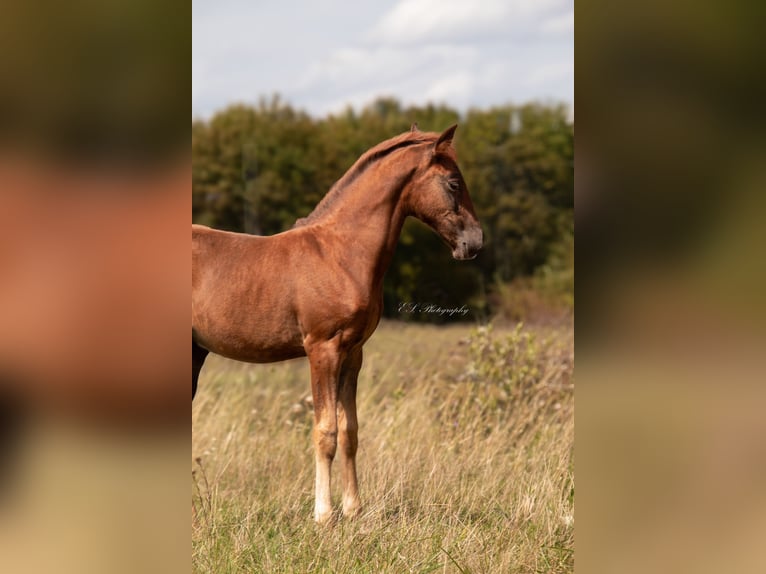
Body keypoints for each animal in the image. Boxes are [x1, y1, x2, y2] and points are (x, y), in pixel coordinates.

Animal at [192, 126, 480, 528]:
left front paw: (353, 509)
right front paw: (324, 514)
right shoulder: (322, 349)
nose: (475, 242)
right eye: (454, 183)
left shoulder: (352, 353)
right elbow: (325, 431)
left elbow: (349, 431)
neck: (341, 253)